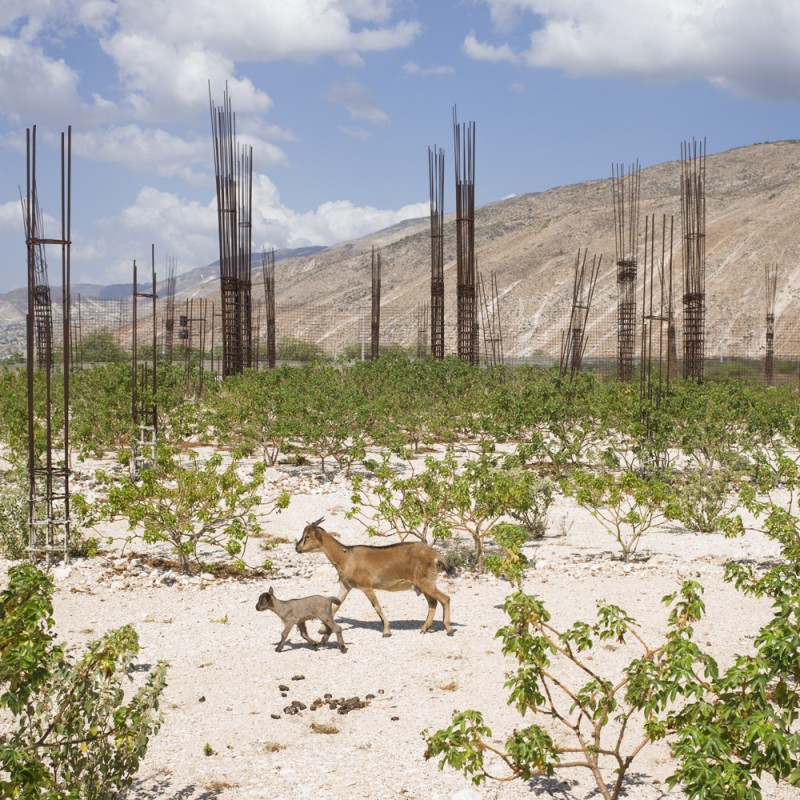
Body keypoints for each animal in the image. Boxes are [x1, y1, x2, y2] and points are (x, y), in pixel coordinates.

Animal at [296, 520, 456, 636]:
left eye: (307, 536)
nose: (297, 548)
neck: (346, 557)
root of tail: (436, 555)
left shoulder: (366, 586)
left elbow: (376, 606)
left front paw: (386, 631)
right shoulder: (346, 585)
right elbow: (336, 605)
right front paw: (323, 629)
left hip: (424, 582)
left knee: (445, 598)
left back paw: (448, 629)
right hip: (422, 584)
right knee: (433, 602)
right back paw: (424, 628)